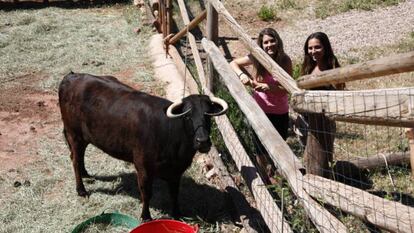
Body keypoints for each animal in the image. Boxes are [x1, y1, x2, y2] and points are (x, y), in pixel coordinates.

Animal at [57, 72, 228, 220]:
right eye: (187, 116)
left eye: (208, 115)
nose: (202, 141)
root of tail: (72, 76)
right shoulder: (143, 167)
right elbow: (146, 193)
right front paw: (146, 217)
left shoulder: (176, 172)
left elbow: (174, 193)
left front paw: (177, 213)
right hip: (74, 134)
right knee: (74, 159)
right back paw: (81, 190)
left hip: (83, 137)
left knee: (79, 156)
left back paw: (85, 173)